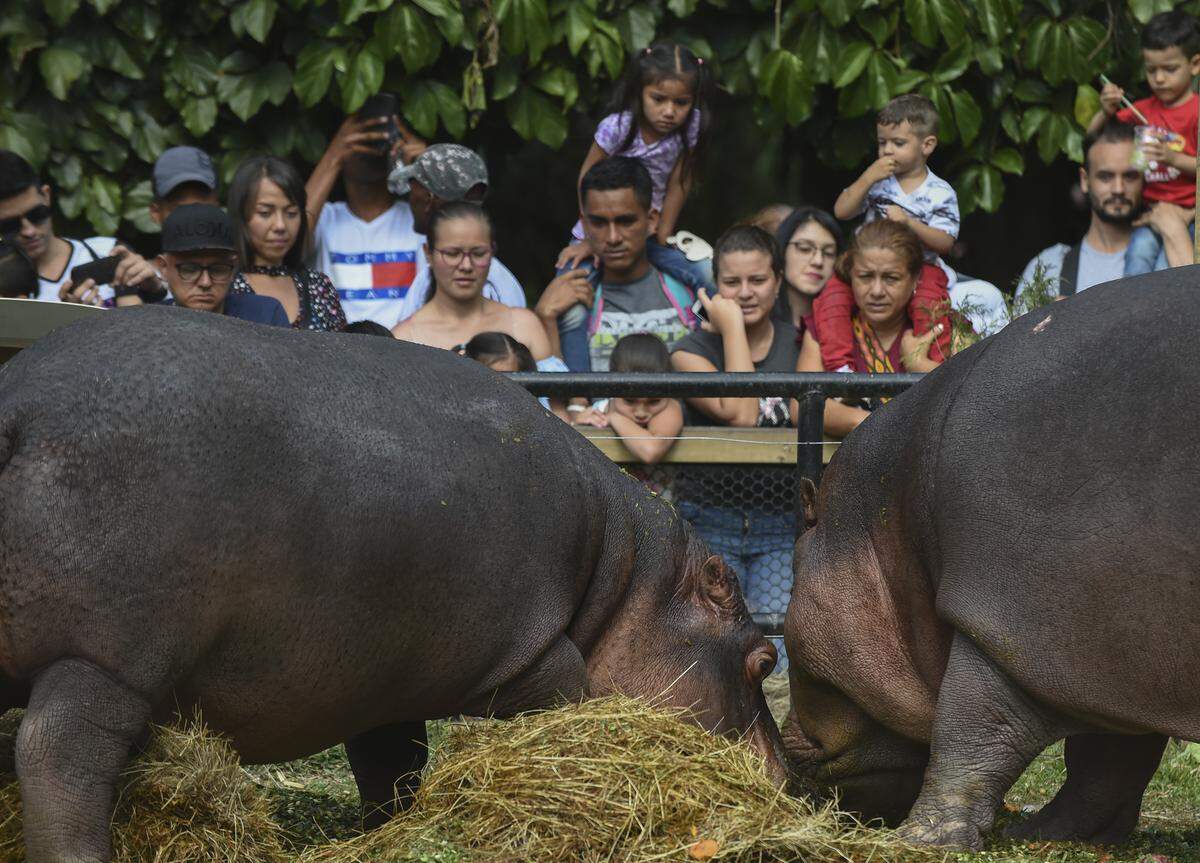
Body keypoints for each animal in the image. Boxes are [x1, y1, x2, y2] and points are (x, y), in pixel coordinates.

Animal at [0, 307, 784, 863]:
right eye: (765, 660)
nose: (787, 788)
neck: (624, 578)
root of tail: (19, 401)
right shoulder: (532, 654)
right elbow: (565, 698)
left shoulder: (382, 680)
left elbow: (391, 766)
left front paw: (390, 831)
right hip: (108, 657)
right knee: (57, 756)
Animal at [781, 270, 1200, 849]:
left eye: (790, 585)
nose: (781, 744)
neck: (892, 512)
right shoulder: (1116, 660)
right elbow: (1107, 763)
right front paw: (1046, 834)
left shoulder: (1012, 622)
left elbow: (971, 727)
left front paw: (924, 838)